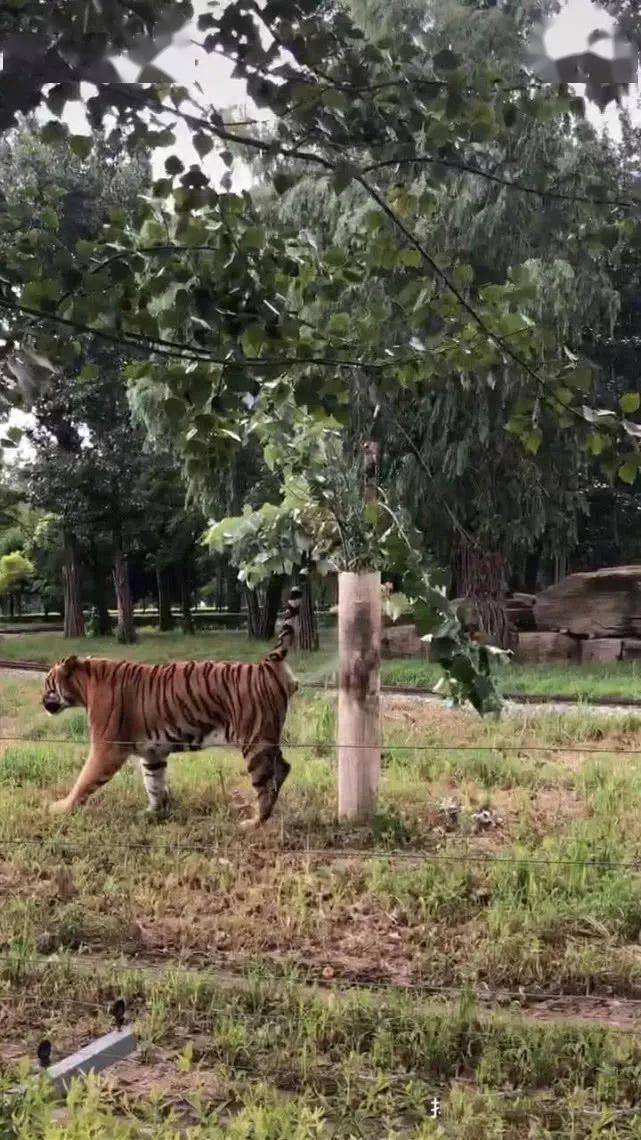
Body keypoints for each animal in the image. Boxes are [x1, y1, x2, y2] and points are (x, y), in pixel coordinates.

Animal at [41, 588, 301, 829]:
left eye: (47, 684)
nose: (42, 701)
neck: (84, 685)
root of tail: (268, 664)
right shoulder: (152, 752)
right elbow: (154, 783)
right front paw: (153, 812)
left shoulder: (107, 748)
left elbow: (84, 780)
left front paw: (61, 808)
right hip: (266, 737)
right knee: (284, 767)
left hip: (255, 741)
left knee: (265, 784)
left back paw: (254, 822)